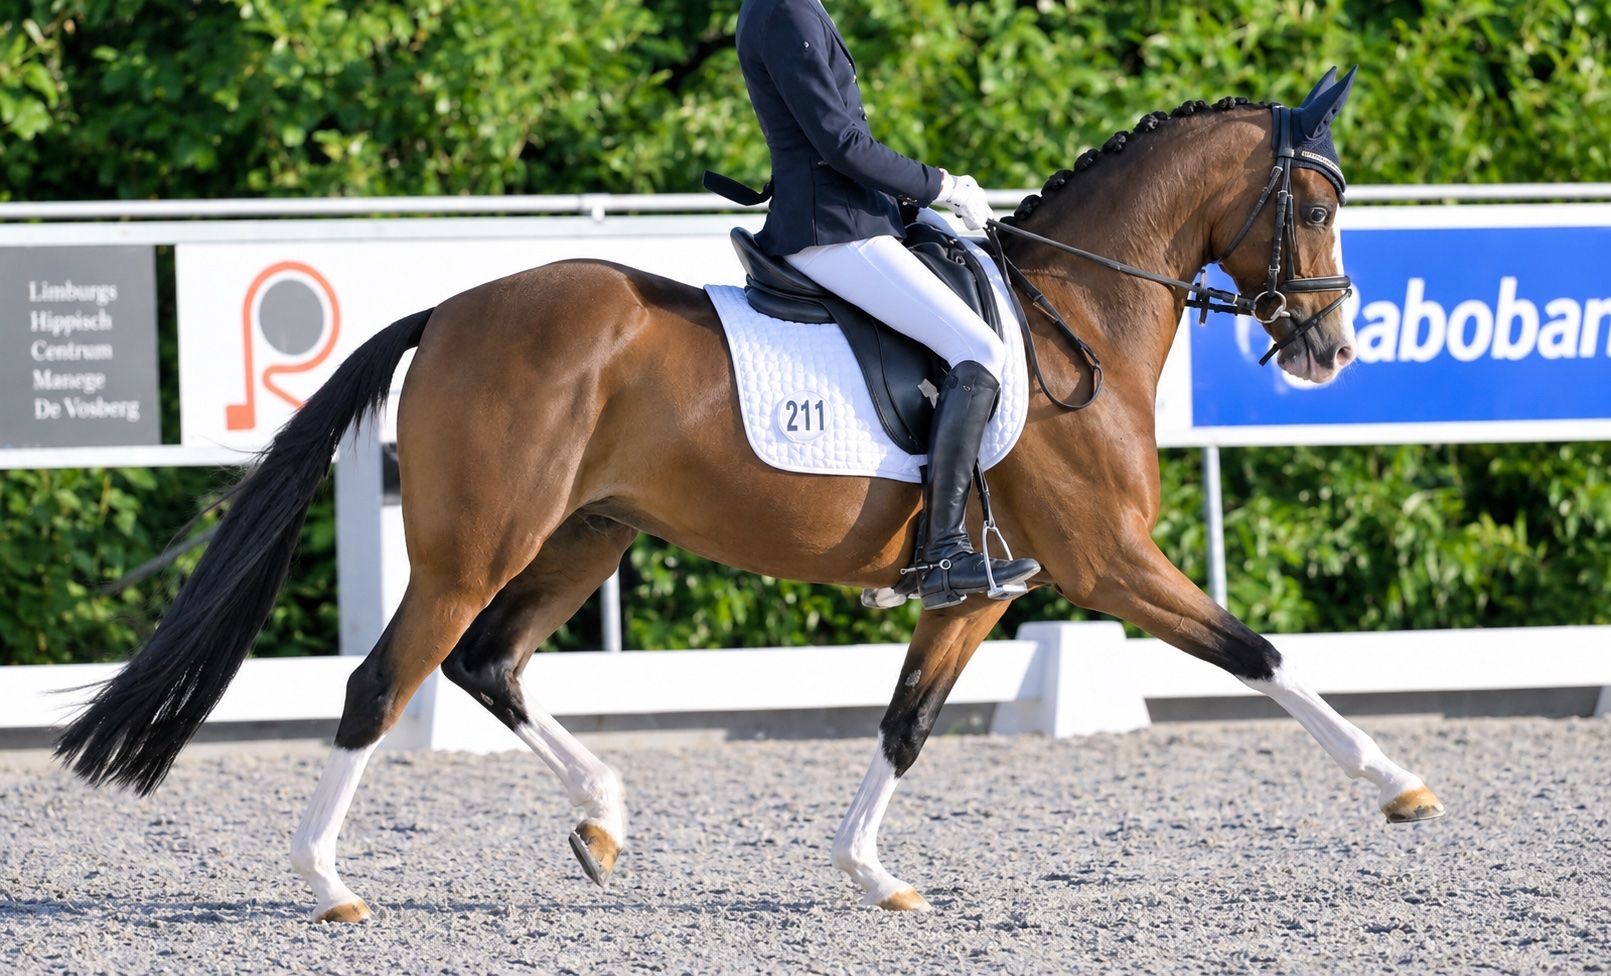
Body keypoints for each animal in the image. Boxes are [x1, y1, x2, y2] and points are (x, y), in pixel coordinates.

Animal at [56, 73, 1444, 921]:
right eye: (1315, 203)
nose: (1330, 350)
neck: (1074, 313)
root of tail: (447, 308)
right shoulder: (1107, 559)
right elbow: (1260, 652)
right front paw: (1398, 784)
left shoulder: (982, 591)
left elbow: (905, 723)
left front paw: (869, 871)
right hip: (476, 543)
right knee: (382, 682)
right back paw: (327, 880)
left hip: (587, 532)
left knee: (486, 664)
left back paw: (603, 821)